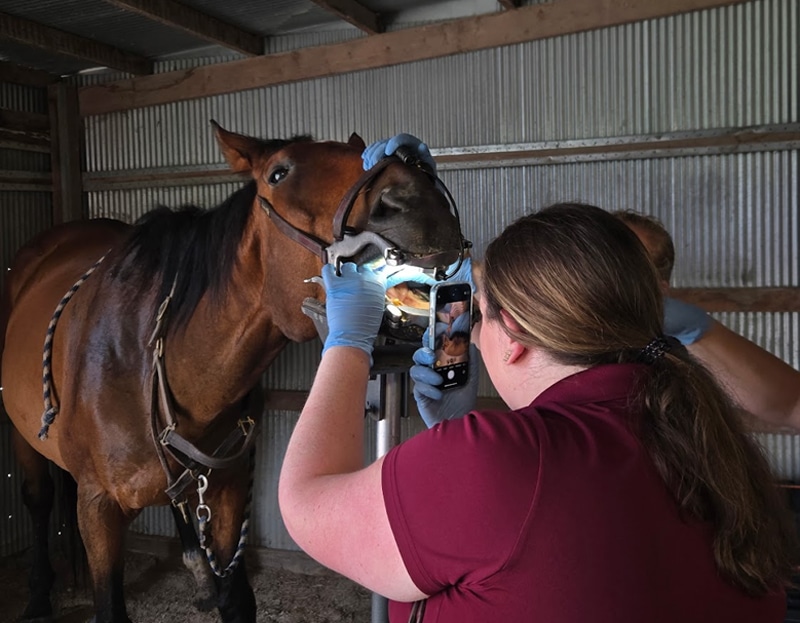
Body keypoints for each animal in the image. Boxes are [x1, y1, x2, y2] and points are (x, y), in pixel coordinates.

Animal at [0, 121, 465, 623]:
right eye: (278, 173)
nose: (420, 200)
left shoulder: (227, 490)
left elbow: (236, 596)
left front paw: (211, 583)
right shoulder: (97, 508)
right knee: (38, 498)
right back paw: (39, 595)